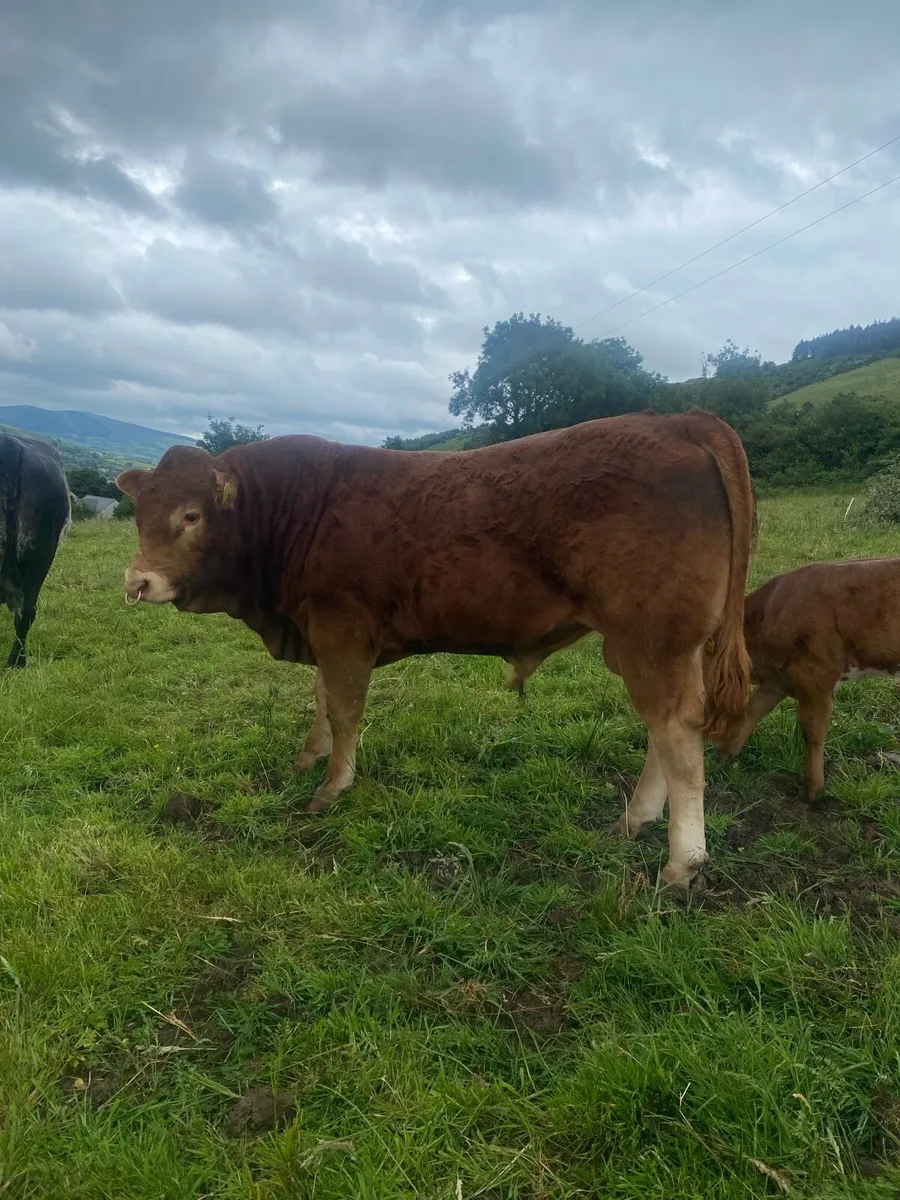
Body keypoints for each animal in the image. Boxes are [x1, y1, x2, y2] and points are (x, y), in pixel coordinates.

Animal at [116, 410, 755, 889]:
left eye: (190, 515)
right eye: (139, 515)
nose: (136, 583)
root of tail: (676, 419)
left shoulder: (343, 631)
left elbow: (344, 709)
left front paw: (332, 786)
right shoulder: (320, 632)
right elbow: (321, 699)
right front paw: (308, 758)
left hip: (652, 639)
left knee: (676, 734)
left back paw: (682, 862)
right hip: (657, 646)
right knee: (665, 731)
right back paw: (635, 820)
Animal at [716, 558, 900, 799]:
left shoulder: (816, 676)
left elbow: (812, 731)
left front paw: (812, 790)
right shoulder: (778, 680)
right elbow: (751, 712)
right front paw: (721, 759)